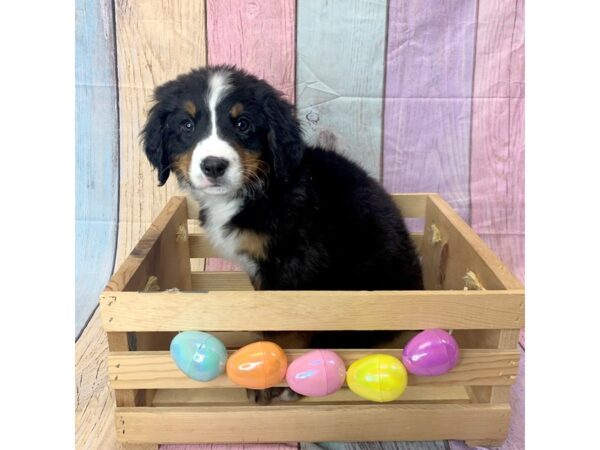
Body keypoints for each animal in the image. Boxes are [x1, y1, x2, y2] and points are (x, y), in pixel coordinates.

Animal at [142, 66, 422, 404]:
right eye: (186, 124)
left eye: (243, 124)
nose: (213, 166)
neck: (261, 188)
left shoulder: (296, 265)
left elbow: (284, 325)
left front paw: (272, 378)